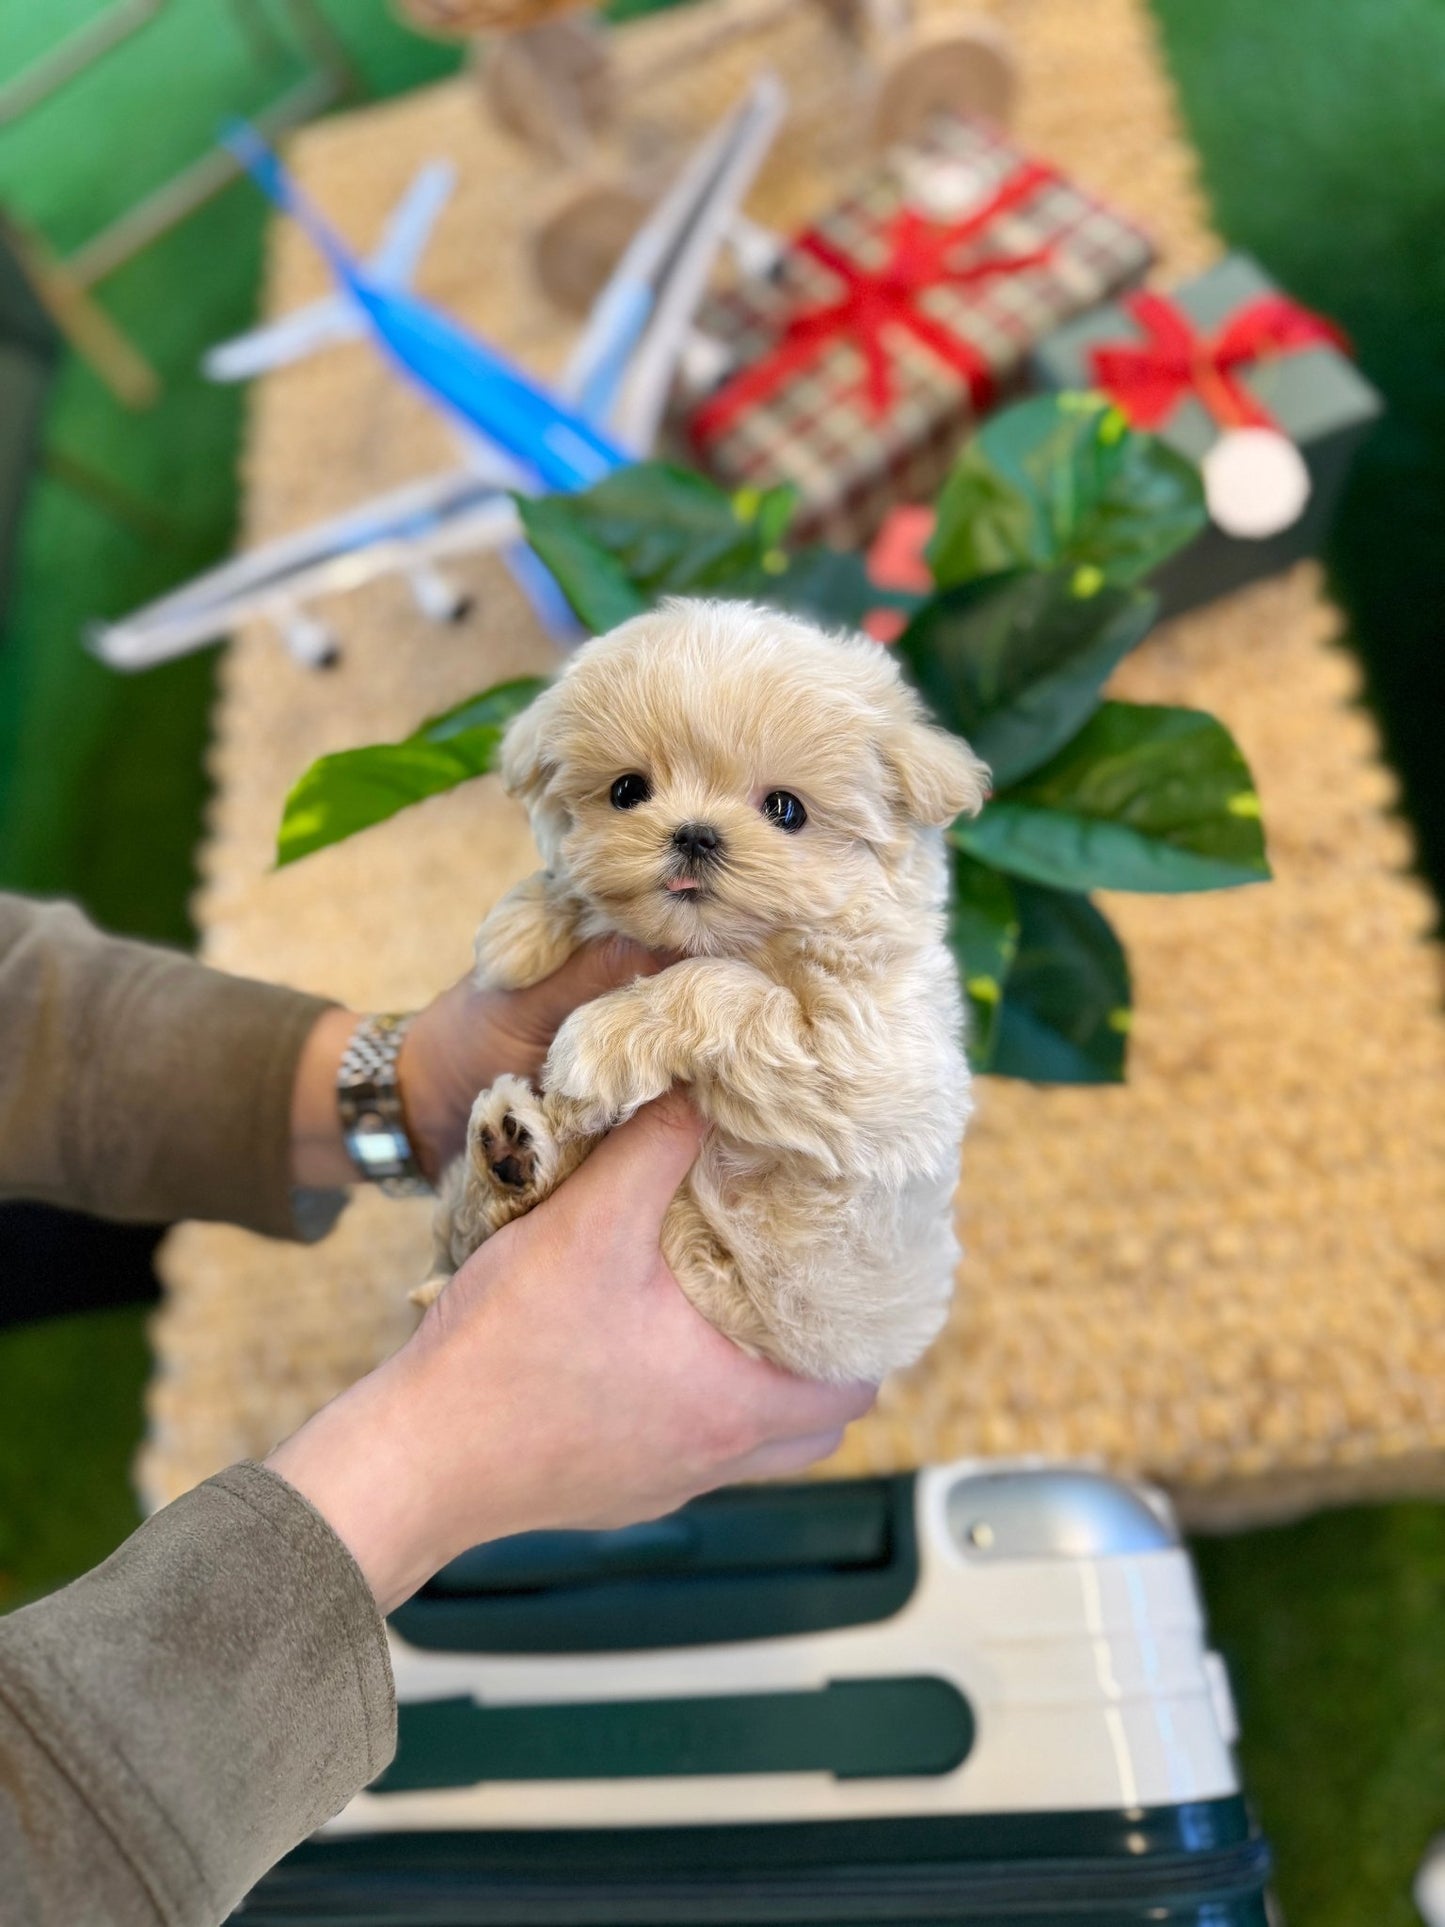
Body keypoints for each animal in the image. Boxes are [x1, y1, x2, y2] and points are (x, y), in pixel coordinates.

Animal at [412, 593, 994, 1379]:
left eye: (786, 809)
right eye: (627, 790)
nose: (693, 833)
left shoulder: (872, 1060)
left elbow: (726, 989)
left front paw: (609, 1033)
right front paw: (526, 925)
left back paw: (516, 1155)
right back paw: (511, 1155)